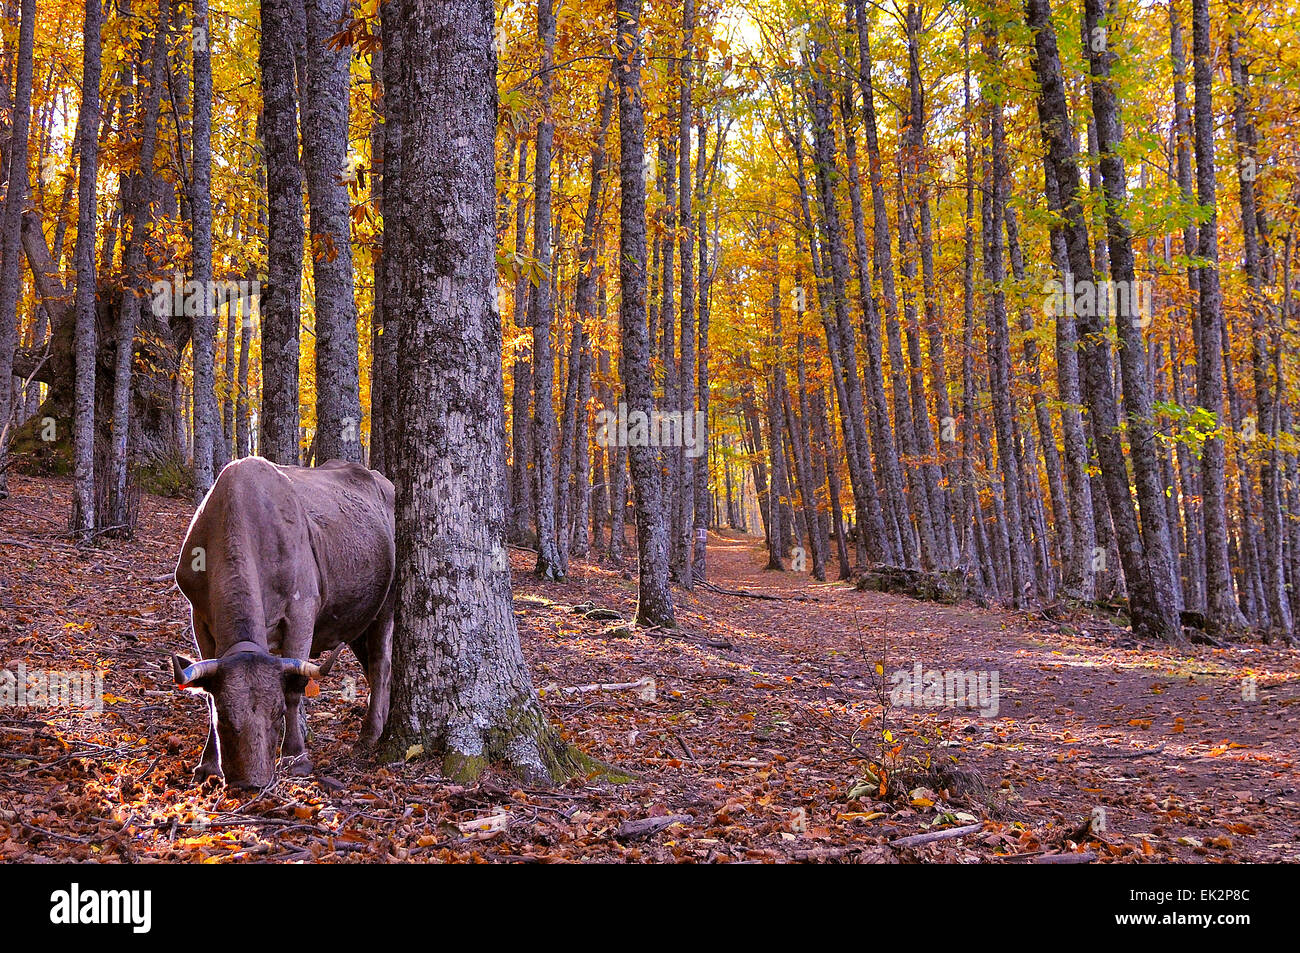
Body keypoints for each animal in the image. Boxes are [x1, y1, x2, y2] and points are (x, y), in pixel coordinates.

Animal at [172, 457, 395, 789]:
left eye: (277, 714)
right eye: (225, 716)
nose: (251, 783)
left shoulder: (301, 610)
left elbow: (295, 688)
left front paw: (295, 757)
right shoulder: (199, 616)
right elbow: (207, 695)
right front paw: (208, 764)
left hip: (386, 605)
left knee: (381, 665)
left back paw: (369, 734)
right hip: (357, 618)